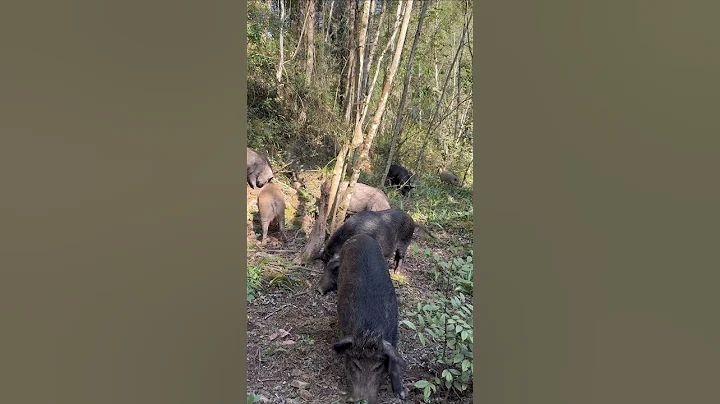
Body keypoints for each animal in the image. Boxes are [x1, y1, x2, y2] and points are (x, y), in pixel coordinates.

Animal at [332, 234, 408, 403]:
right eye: (355, 364)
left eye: (378, 366)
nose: (363, 399)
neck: (369, 330)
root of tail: (361, 236)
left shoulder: (394, 332)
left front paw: (401, 394)